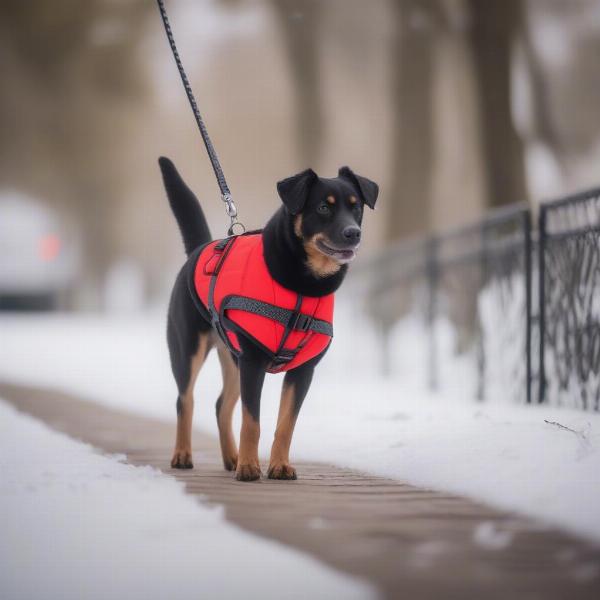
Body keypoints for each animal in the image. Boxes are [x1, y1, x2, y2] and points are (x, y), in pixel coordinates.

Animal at [158, 157, 376, 480]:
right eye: (323, 208)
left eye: (356, 207)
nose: (353, 232)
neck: (303, 286)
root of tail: (199, 249)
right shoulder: (253, 361)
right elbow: (252, 421)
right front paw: (250, 467)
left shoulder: (302, 371)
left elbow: (286, 425)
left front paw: (279, 465)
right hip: (189, 349)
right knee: (185, 399)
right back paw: (184, 454)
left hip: (233, 359)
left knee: (221, 406)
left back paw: (231, 458)